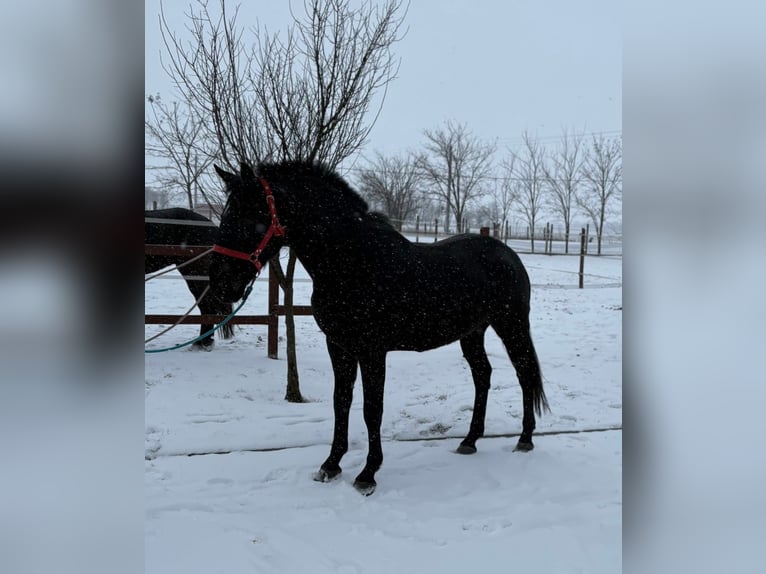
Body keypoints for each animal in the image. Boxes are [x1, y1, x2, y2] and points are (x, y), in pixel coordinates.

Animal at [209, 161, 549, 495]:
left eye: (252, 218)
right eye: (226, 215)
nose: (221, 284)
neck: (352, 261)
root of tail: (507, 253)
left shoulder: (373, 350)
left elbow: (372, 409)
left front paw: (367, 474)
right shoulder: (339, 345)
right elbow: (341, 402)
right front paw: (331, 465)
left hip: (511, 325)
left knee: (524, 373)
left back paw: (525, 439)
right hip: (472, 333)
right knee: (482, 375)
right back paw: (470, 440)